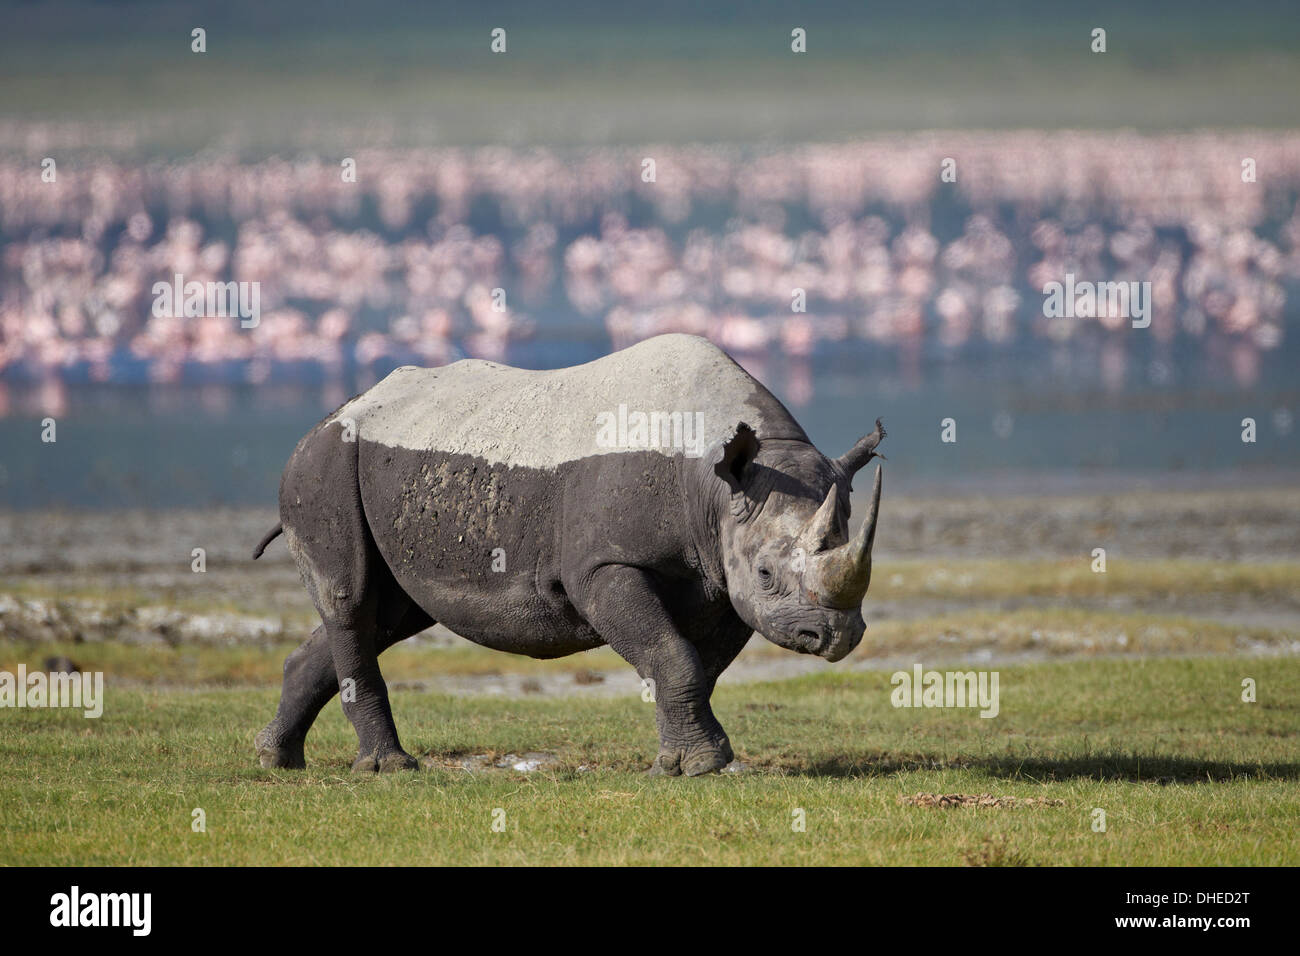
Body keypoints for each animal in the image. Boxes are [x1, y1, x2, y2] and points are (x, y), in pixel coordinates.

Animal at [252, 333, 886, 776]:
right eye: (767, 573)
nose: (834, 637)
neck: (717, 480)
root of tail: (332, 415)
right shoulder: (604, 566)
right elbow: (673, 654)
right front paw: (705, 765)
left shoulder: (721, 573)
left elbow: (694, 666)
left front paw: (676, 763)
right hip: (326, 465)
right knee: (352, 600)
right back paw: (387, 769)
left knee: (390, 613)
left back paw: (275, 760)